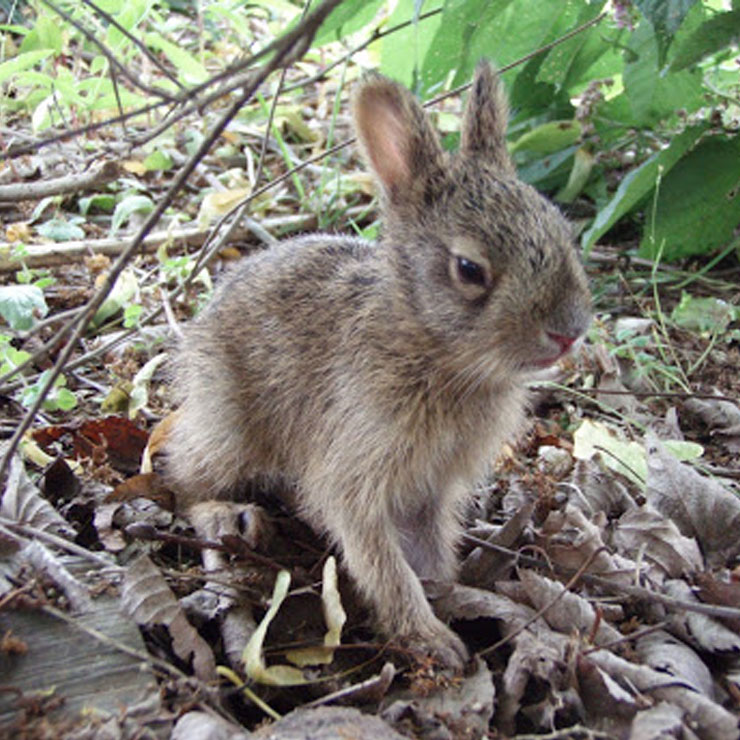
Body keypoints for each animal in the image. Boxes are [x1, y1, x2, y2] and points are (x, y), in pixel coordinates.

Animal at [165, 60, 592, 669]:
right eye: (469, 269)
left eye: (562, 230)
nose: (568, 331)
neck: (430, 347)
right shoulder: (356, 473)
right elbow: (380, 560)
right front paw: (432, 639)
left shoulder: (430, 488)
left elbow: (428, 546)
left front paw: (446, 592)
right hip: (229, 427)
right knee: (182, 480)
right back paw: (226, 516)